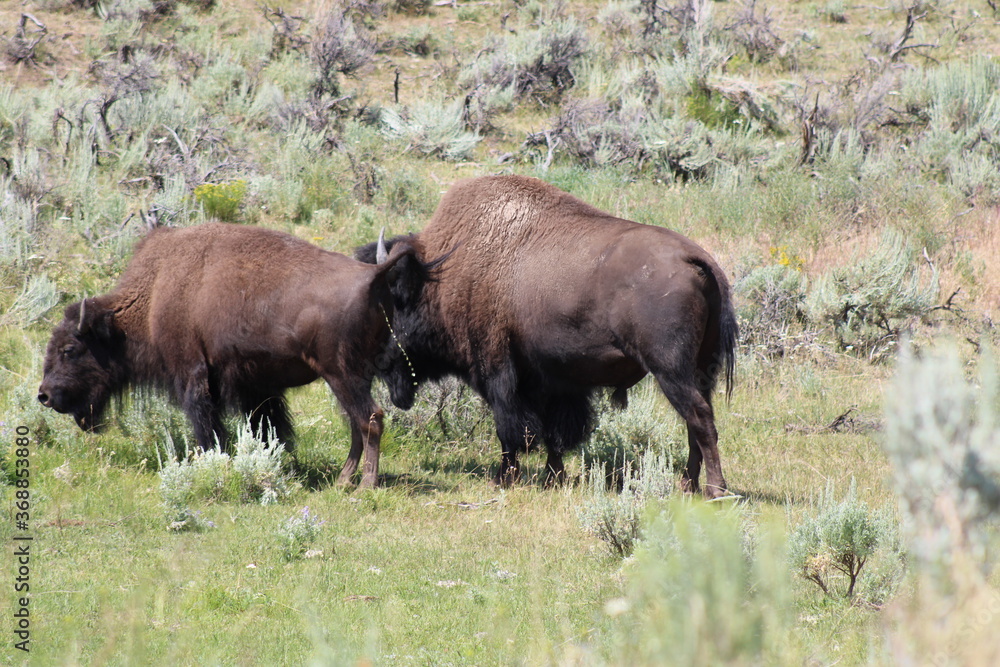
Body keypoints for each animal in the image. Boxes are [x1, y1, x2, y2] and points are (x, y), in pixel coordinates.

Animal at [37, 222, 428, 488]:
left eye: (71, 349)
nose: (45, 395)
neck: (154, 294)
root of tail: (372, 274)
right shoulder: (256, 387)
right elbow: (268, 426)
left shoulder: (194, 374)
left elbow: (207, 424)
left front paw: (215, 462)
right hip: (352, 377)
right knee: (357, 423)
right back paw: (345, 480)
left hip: (342, 374)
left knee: (370, 418)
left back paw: (363, 485)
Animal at [358, 175, 736, 498]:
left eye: (395, 299)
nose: (378, 361)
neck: (447, 271)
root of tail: (694, 257)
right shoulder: (554, 378)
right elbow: (555, 430)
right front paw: (553, 476)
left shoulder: (498, 369)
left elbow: (510, 428)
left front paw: (504, 477)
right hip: (700, 371)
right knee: (696, 423)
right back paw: (688, 484)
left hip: (670, 370)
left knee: (701, 420)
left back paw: (714, 490)